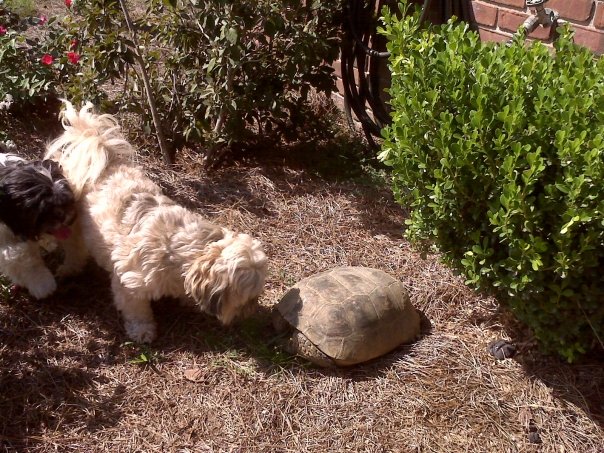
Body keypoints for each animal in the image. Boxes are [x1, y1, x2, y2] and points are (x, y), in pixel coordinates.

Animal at [48, 101, 270, 342]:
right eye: (247, 299)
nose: (250, 312)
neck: (178, 248)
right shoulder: (130, 282)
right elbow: (136, 311)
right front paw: (143, 330)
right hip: (72, 225)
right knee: (74, 249)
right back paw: (70, 268)